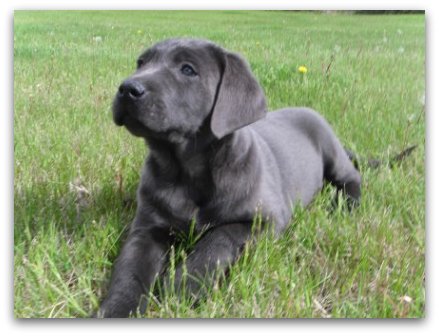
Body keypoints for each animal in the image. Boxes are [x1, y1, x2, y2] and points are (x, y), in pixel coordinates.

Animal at [97, 38, 360, 318]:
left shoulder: (267, 219)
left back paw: (345, 205)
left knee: (352, 178)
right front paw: (116, 308)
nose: (127, 88)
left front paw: (185, 284)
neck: (185, 171)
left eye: (187, 69)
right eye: (141, 63)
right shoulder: (147, 228)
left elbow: (219, 239)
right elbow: (130, 269)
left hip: (331, 148)